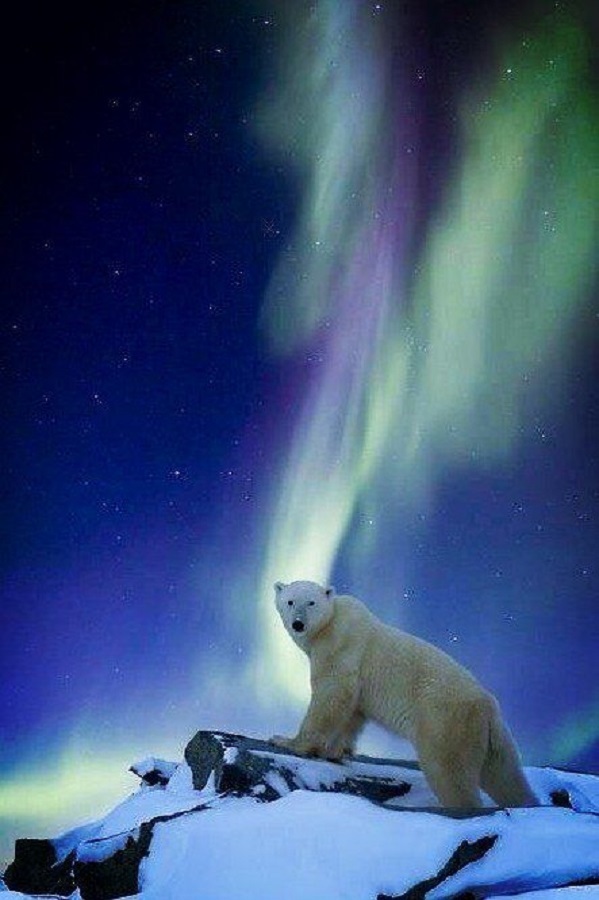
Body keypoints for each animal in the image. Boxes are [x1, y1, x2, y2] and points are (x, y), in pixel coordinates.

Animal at [270, 580, 538, 809]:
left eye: (311, 602)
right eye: (290, 601)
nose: (298, 624)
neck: (330, 624)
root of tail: (488, 705)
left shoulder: (340, 647)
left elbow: (331, 695)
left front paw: (288, 741)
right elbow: (353, 711)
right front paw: (335, 752)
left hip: (445, 721)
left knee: (448, 771)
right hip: (491, 736)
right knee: (505, 775)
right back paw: (527, 802)